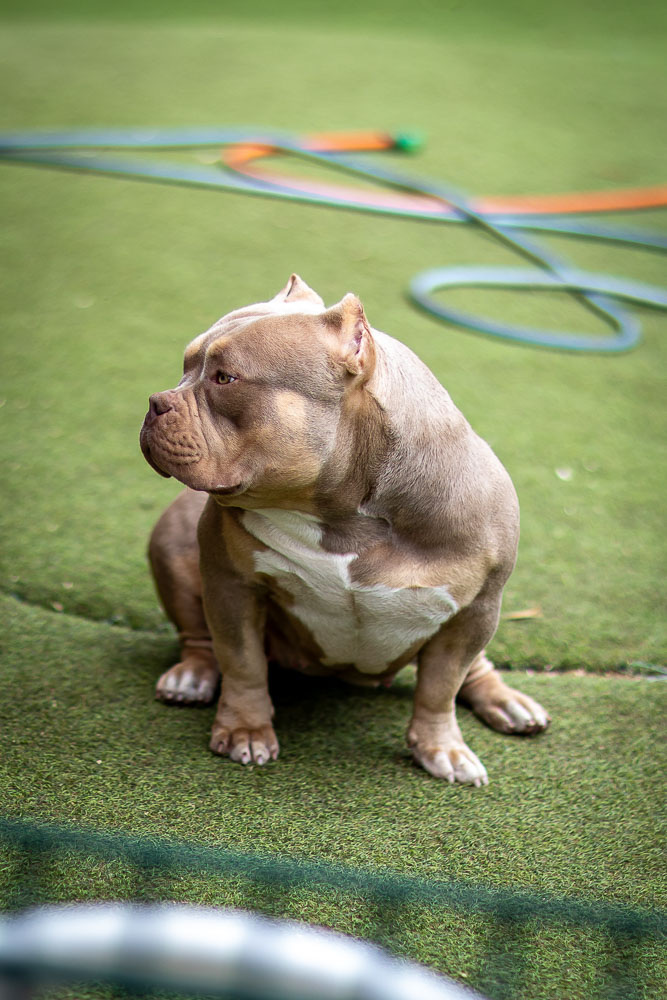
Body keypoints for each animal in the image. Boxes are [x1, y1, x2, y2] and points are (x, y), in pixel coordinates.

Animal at [140, 275, 549, 785]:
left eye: (224, 378)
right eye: (185, 366)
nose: (154, 402)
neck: (343, 515)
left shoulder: (475, 611)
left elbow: (441, 686)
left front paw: (442, 748)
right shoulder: (230, 582)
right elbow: (242, 661)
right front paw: (244, 731)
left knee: (474, 669)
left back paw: (506, 701)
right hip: (171, 545)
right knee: (200, 639)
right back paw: (192, 676)